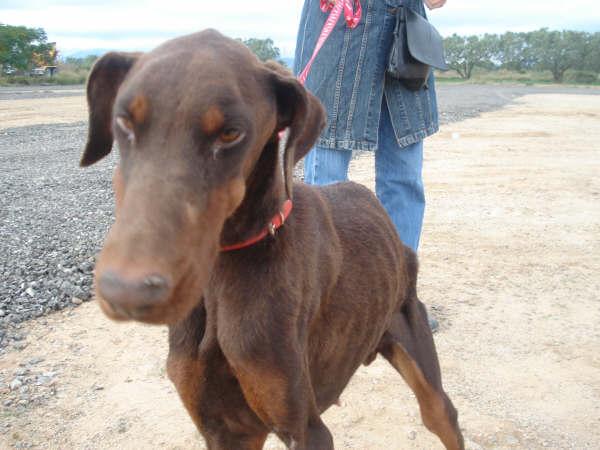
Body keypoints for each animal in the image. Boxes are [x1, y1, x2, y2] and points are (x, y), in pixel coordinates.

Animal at [81, 29, 464, 448]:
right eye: (123, 120)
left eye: (231, 132)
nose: (126, 291)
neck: (222, 278)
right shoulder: (225, 429)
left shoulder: (304, 428)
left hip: (421, 361)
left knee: (439, 411)